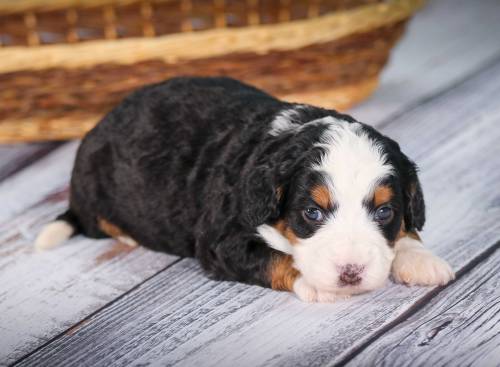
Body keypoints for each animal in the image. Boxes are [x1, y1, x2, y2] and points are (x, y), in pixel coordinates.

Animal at [37, 76, 456, 304]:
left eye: (385, 212)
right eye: (312, 213)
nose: (351, 274)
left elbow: (408, 230)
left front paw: (420, 259)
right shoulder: (224, 240)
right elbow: (278, 258)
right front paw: (320, 285)